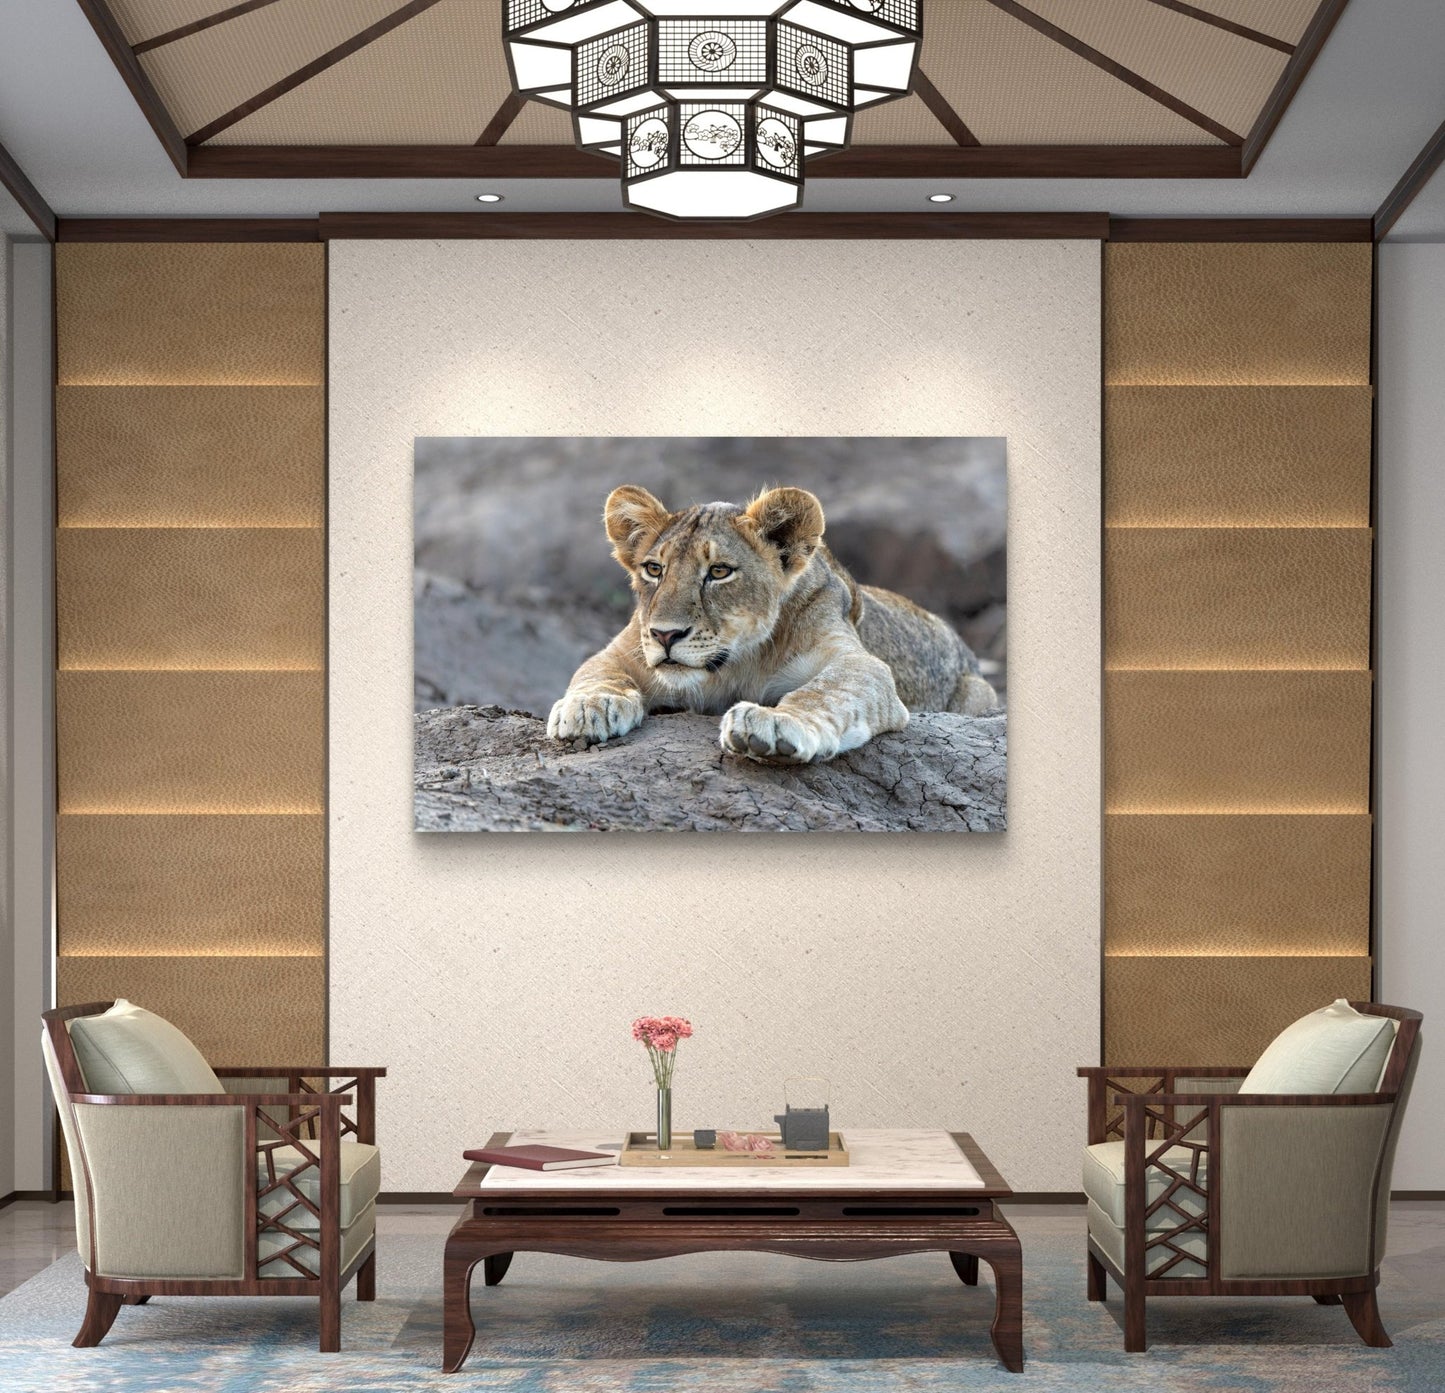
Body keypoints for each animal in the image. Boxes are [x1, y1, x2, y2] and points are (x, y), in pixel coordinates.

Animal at [546, 484, 999, 764]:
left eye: (719, 571)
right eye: (654, 569)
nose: (665, 635)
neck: (735, 664)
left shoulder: (860, 663)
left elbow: (823, 691)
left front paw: (777, 723)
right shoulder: (624, 650)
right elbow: (594, 672)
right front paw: (589, 707)